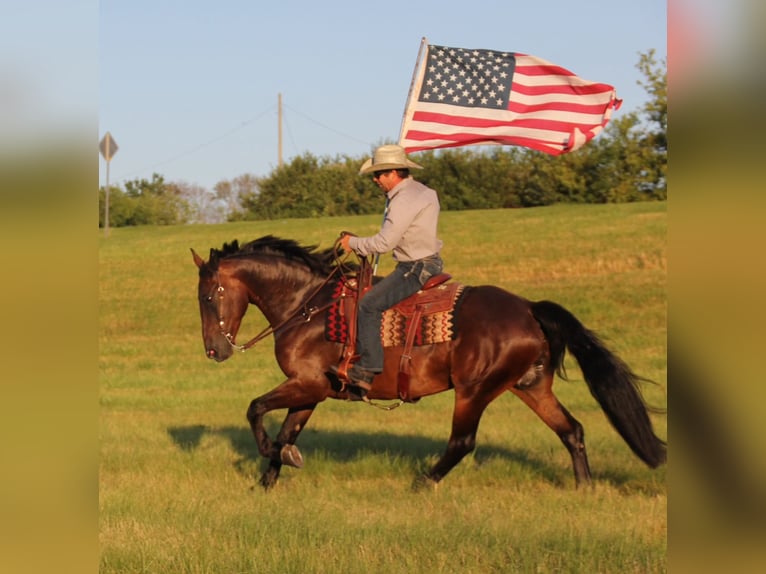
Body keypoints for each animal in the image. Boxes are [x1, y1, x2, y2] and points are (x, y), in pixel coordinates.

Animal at [190, 236, 664, 492]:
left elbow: (255, 410)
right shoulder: (311, 391)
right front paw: (268, 479)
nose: (214, 350)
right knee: (572, 430)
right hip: (530, 386)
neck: (309, 307)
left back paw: (422, 482)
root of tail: (529, 308)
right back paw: (585, 488)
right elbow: (287, 430)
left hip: (475, 391)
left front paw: (275, 457)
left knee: (462, 443)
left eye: (208, 295)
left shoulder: (308, 384)